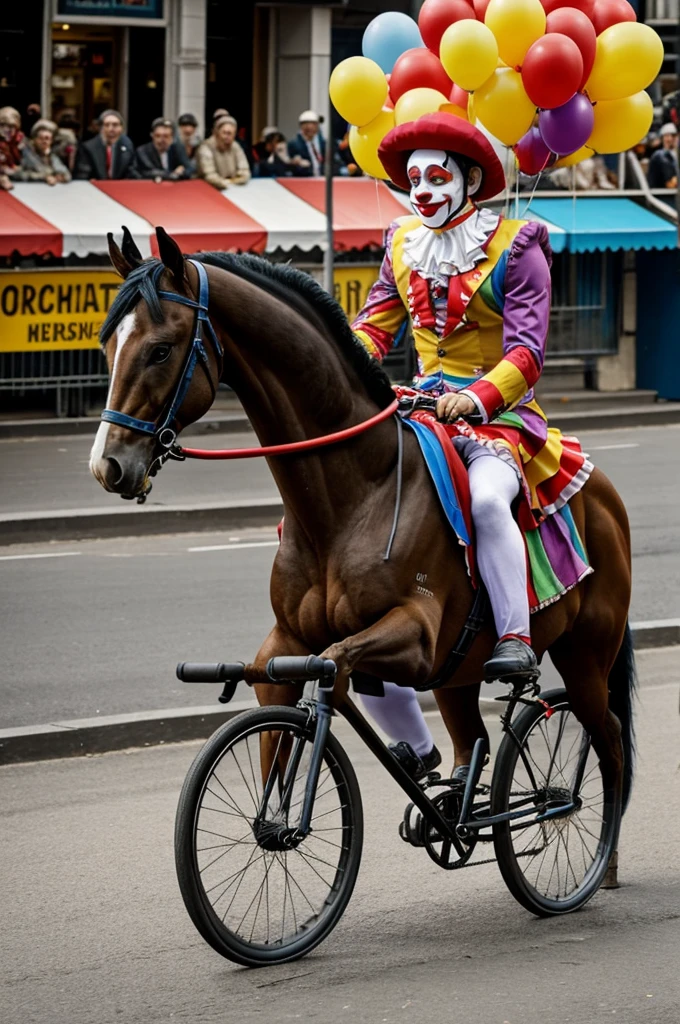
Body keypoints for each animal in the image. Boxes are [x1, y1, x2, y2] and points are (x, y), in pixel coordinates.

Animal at [91, 228, 639, 884]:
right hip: (460, 668)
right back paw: (459, 805)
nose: (108, 464)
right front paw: (276, 822)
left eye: (160, 350)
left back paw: (592, 853)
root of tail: (603, 492)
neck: (354, 494)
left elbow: (333, 670)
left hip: (584, 658)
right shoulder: (289, 644)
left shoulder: (414, 633)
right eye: (107, 347)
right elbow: (286, 722)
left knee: (606, 743)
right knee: (477, 734)